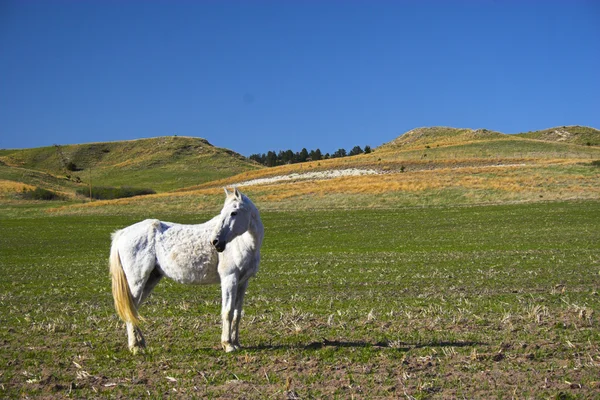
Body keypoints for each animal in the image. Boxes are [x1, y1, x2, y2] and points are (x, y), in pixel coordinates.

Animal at [109, 188, 264, 354]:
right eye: (223, 212)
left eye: (234, 213)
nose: (215, 242)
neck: (242, 243)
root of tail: (122, 233)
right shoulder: (229, 279)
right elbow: (227, 312)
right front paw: (228, 344)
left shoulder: (242, 282)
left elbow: (237, 313)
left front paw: (236, 343)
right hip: (137, 282)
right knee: (130, 309)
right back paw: (135, 347)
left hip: (150, 279)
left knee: (134, 310)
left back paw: (141, 344)